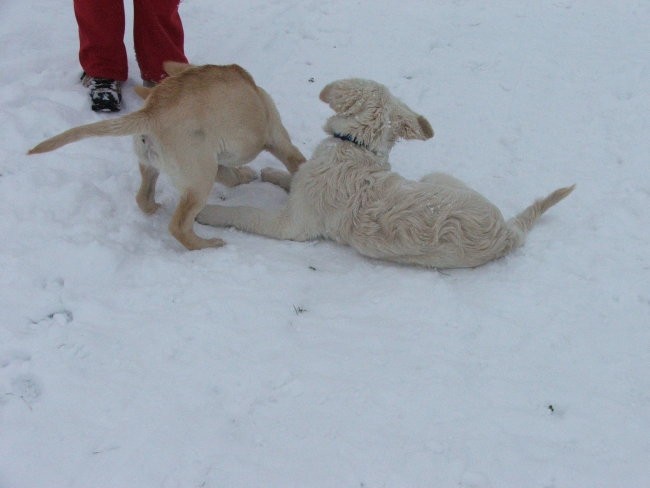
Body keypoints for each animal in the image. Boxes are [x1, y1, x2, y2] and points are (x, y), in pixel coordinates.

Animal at [26, 61, 306, 250]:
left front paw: (244, 175)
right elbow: (295, 162)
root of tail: (151, 112)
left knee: (143, 197)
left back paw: (155, 207)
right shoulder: (278, 139)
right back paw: (207, 245)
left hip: (153, 165)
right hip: (199, 181)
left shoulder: (215, 161)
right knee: (178, 226)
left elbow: (230, 176)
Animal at [197, 78, 572, 268]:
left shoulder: (292, 226)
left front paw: (209, 212)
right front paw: (274, 174)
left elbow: (245, 213)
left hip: (434, 176)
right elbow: (296, 176)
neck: (357, 145)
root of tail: (507, 233)